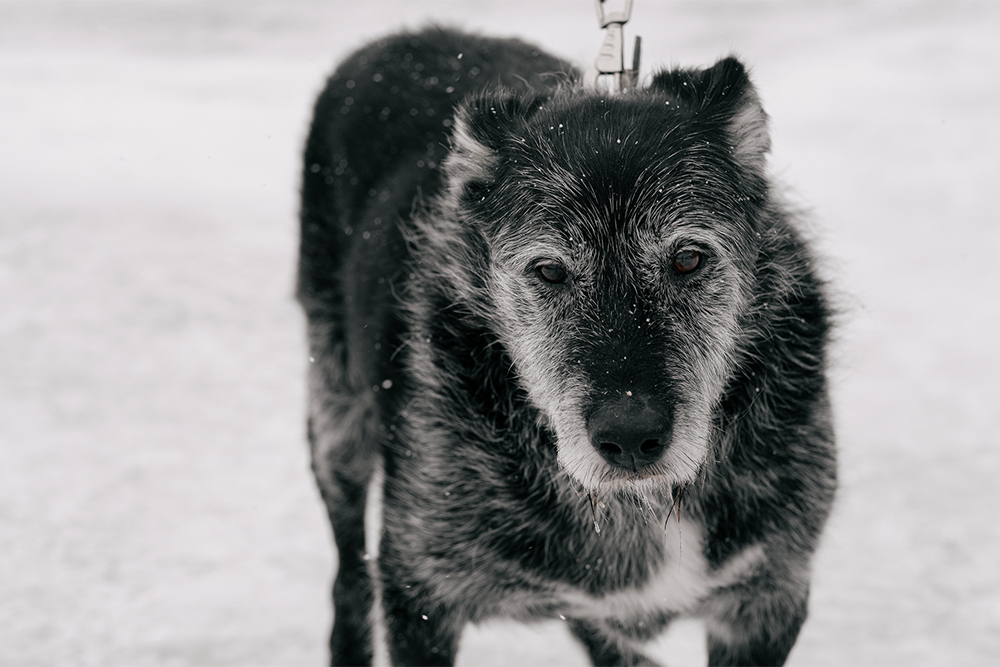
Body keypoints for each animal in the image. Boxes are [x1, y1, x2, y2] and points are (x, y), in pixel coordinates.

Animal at [298, 26, 836, 667]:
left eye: (688, 258)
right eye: (550, 270)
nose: (630, 437)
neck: (636, 506)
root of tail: (407, 36)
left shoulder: (768, 599)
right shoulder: (420, 594)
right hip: (337, 424)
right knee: (349, 569)